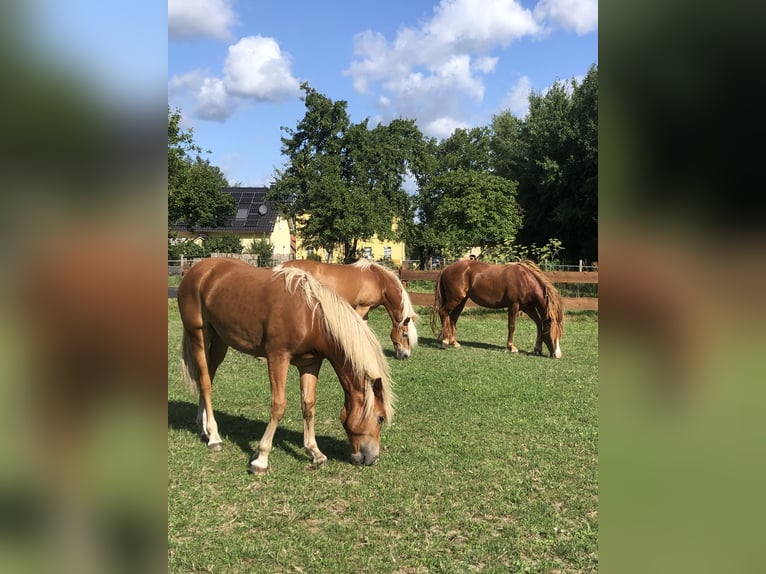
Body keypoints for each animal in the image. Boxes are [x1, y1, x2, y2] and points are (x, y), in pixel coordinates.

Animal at [177, 257, 395, 473]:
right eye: (380, 418)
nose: (371, 459)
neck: (311, 317)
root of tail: (197, 269)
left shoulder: (310, 363)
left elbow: (308, 405)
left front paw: (315, 452)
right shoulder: (278, 358)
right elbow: (278, 406)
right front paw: (261, 459)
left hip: (220, 340)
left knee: (208, 376)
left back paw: (203, 427)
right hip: (199, 334)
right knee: (205, 382)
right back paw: (214, 436)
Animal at [431, 259, 564, 358]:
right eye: (551, 332)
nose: (558, 355)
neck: (525, 280)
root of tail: (445, 269)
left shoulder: (528, 308)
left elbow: (539, 324)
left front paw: (537, 349)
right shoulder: (514, 305)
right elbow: (512, 326)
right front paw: (511, 347)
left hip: (461, 301)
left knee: (453, 318)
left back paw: (454, 342)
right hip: (455, 299)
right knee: (443, 312)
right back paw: (445, 342)